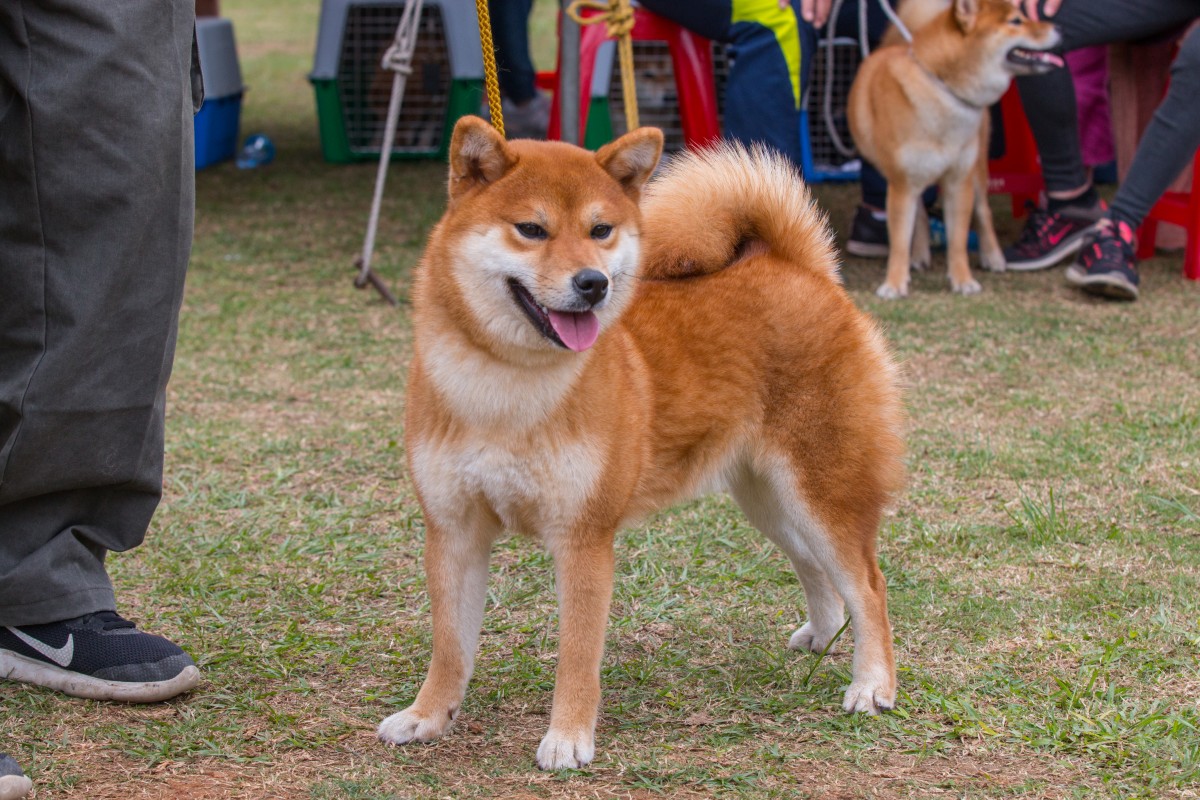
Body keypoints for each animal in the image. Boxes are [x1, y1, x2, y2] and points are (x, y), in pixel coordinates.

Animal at [379, 115, 902, 772]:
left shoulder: (583, 538)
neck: (507, 390)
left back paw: (872, 684)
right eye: (532, 229)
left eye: (600, 230)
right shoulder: (452, 530)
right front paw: (427, 716)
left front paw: (568, 738)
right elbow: (450, 645)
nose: (593, 283)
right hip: (770, 499)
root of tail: (795, 266)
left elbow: (578, 654)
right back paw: (825, 635)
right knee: (813, 565)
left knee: (868, 586)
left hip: (822, 490)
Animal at [849, 0, 1065, 298]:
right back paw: (919, 254)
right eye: (1016, 21)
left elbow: (958, 240)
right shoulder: (902, 184)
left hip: (978, 170)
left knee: (983, 212)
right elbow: (900, 240)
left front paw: (963, 279)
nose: (1058, 27)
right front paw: (895, 282)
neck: (940, 88)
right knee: (921, 212)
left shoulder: (959, 181)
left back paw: (992, 256)